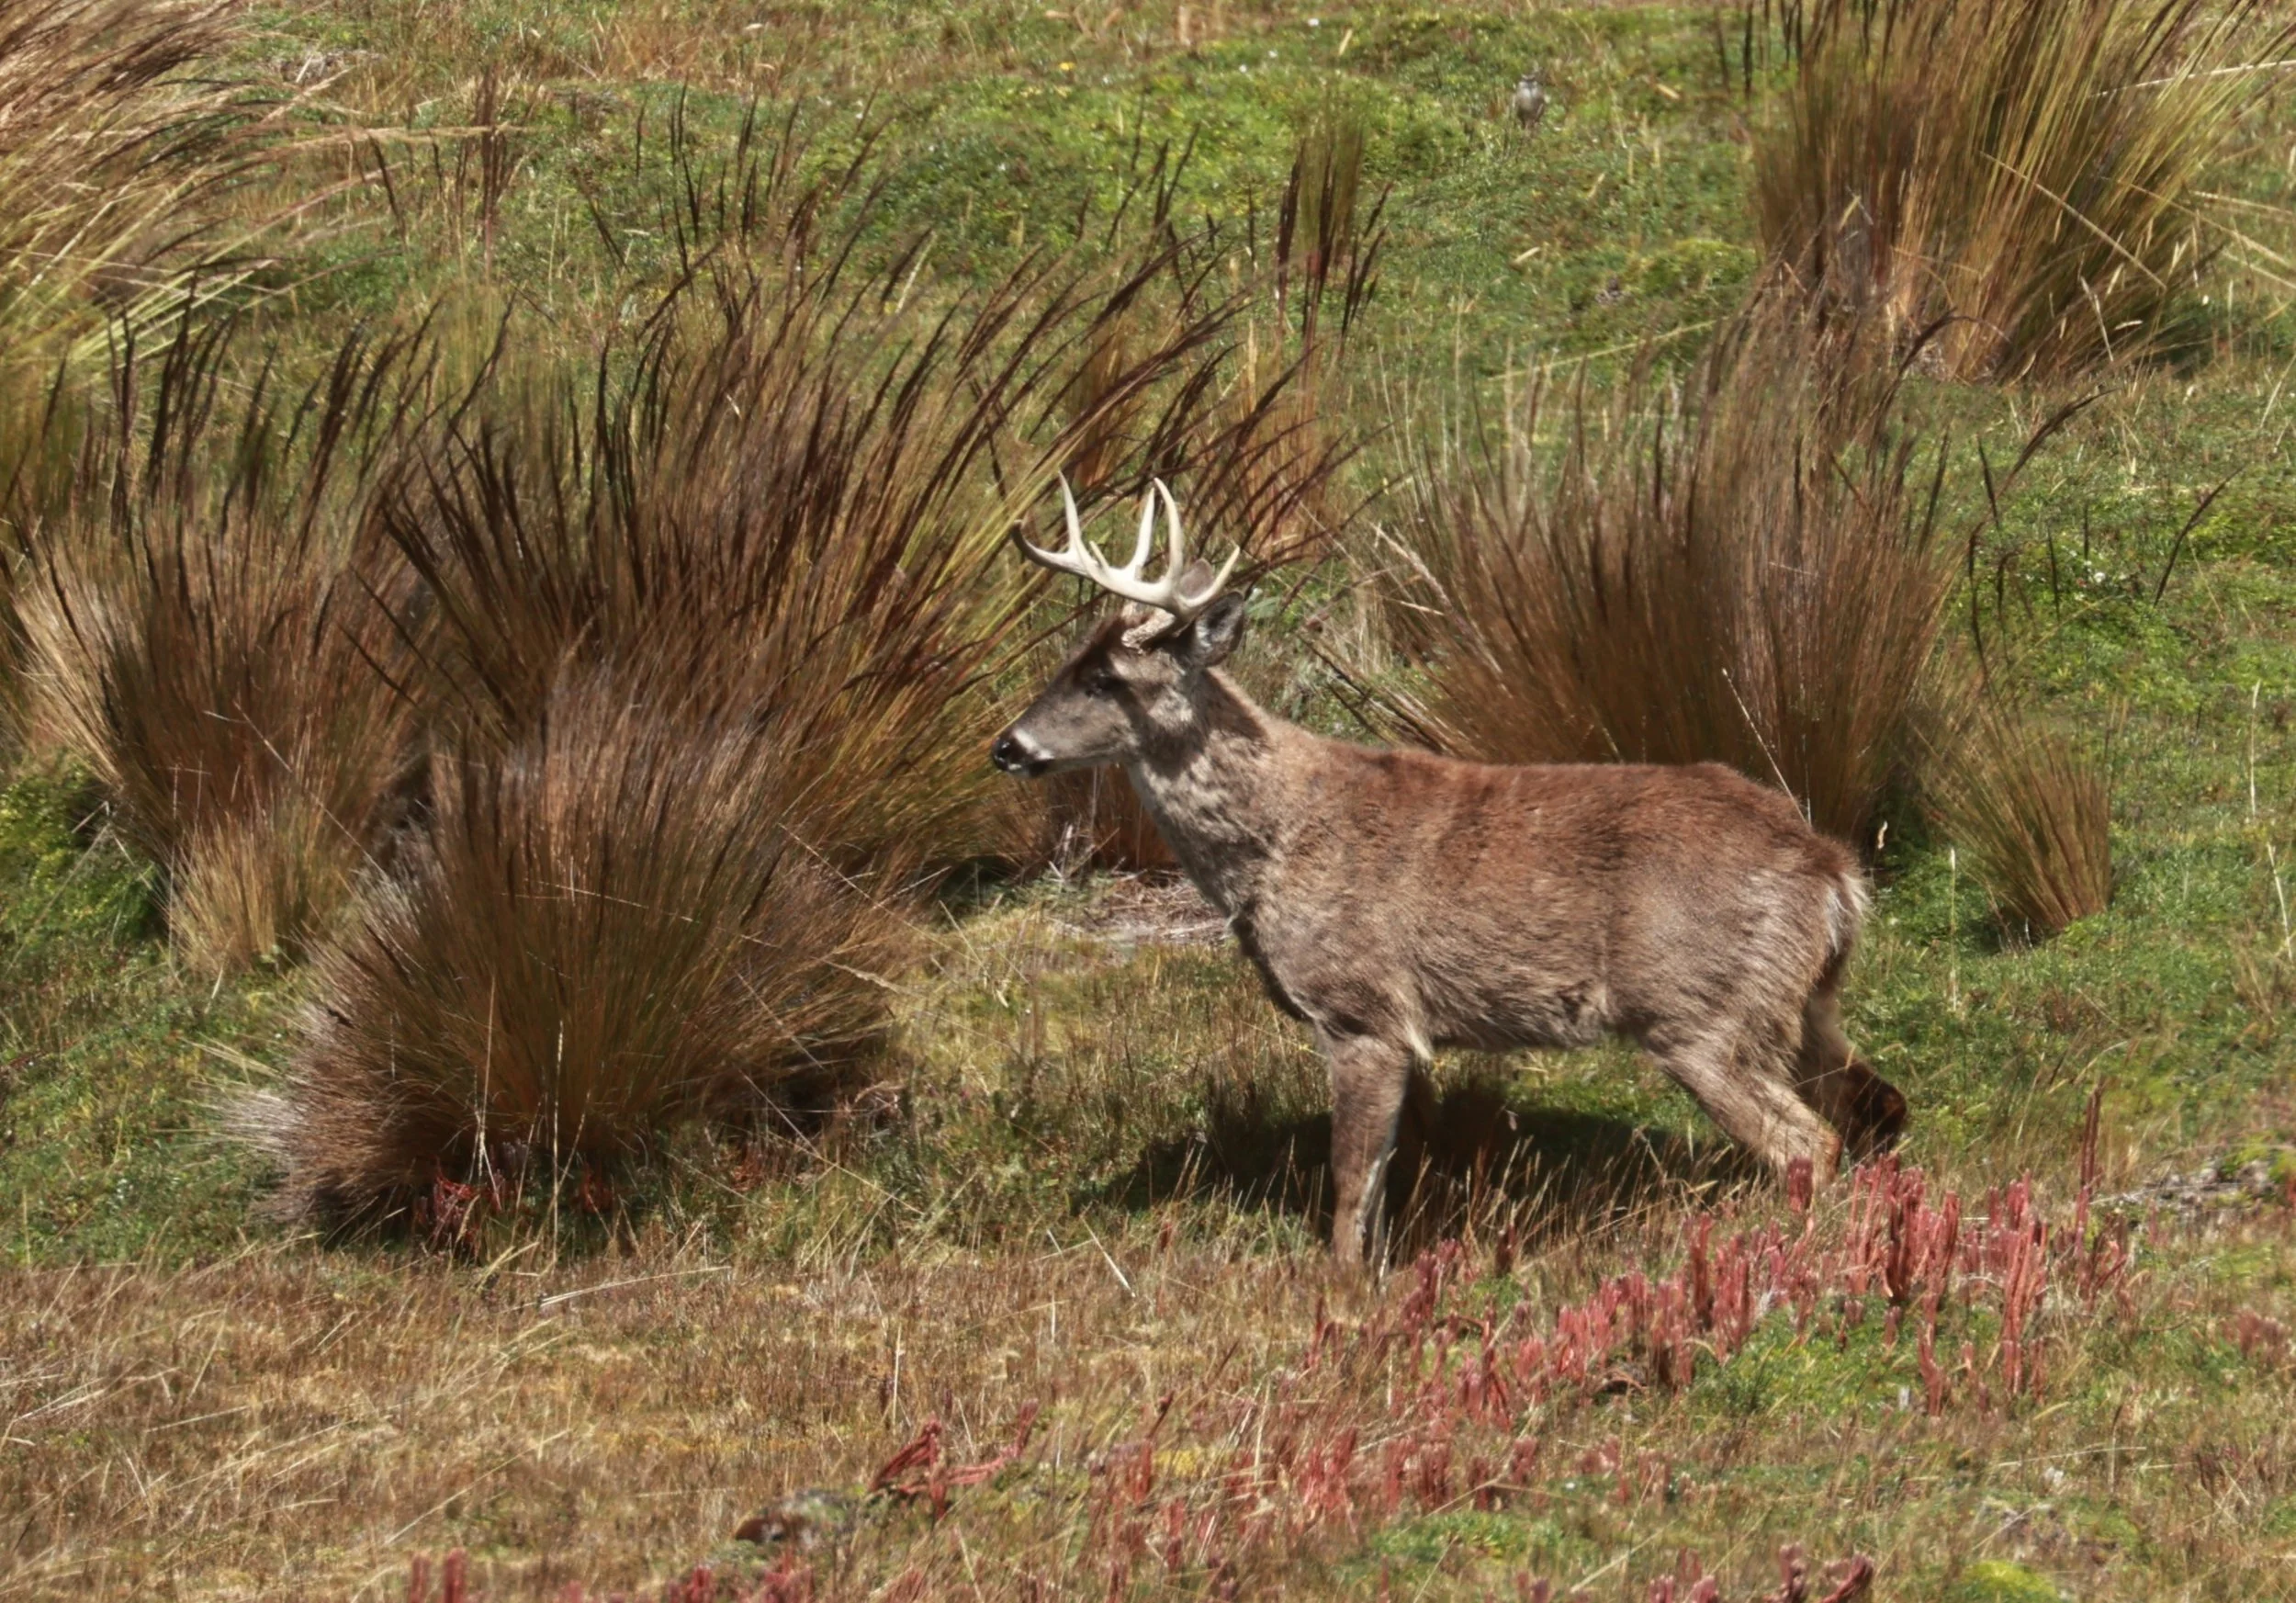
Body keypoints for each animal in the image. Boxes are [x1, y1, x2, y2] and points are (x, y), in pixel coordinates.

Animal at [990, 479, 1909, 1266]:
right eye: (1068, 659)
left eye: (1105, 678)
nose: (1007, 745)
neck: (1278, 839)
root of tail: (1830, 872)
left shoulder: (1362, 1010)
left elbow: (1351, 1181)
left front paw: (1344, 1293)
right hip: (1799, 1001)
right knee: (1877, 1105)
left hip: (1699, 1010)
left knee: (1807, 1142)